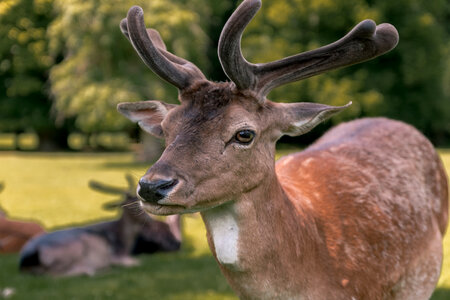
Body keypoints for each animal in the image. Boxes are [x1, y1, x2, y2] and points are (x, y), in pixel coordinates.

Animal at [19, 176, 181, 276]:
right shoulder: (117, 255)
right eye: (131, 205)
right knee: (57, 274)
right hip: (74, 248)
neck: (124, 242)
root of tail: (25, 260)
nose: (150, 219)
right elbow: (136, 262)